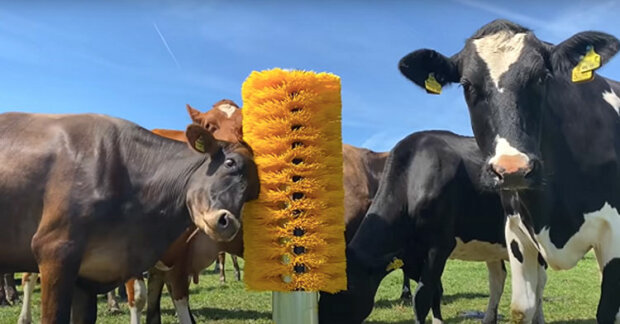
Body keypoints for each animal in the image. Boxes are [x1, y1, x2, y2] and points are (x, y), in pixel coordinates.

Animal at [0, 112, 258, 324]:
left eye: (253, 193)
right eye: (230, 163)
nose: (227, 223)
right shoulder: (55, 251)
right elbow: (142, 299)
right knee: (27, 277)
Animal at [320, 131, 532, 324]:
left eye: (348, 290)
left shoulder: (439, 246)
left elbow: (421, 298)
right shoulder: (411, 255)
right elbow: (434, 292)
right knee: (498, 278)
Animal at [398, 19, 620, 322]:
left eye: (542, 78)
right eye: (467, 85)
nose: (513, 169)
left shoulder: (614, 234)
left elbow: (607, 310)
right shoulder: (516, 233)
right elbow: (522, 307)